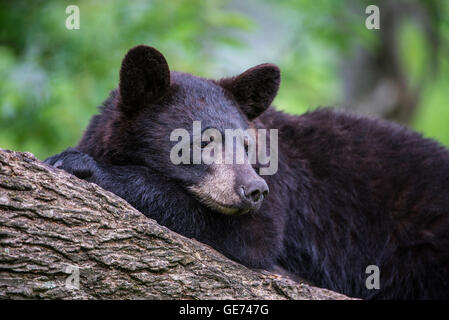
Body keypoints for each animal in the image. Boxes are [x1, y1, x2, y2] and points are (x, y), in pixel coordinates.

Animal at [45, 45, 448, 300]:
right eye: (201, 142)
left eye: (246, 145)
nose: (254, 189)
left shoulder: (282, 188)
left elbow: (256, 237)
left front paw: (81, 164)